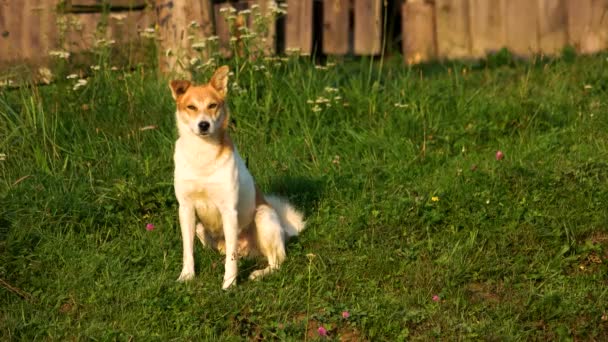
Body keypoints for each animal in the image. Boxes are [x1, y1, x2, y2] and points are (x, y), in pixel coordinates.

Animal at [169, 66, 306, 288]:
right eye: (191, 107)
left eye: (212, 105)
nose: (204, 125)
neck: (202, 155)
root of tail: (286, 230)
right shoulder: (186, 209)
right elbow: (187, 251)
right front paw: (186, 276)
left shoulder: (228, 211)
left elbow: (231, 260)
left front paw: (229, 284)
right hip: (201, 228)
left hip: (263, 216)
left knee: (276, 260)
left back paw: (259, 273)